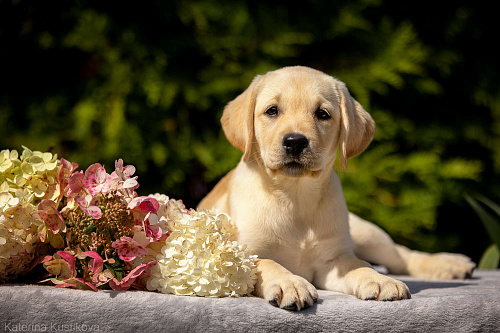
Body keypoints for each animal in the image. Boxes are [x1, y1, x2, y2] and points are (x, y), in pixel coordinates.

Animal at [197, 66, 474, 310]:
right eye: (272, 111)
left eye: (322, 114)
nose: (295, 141)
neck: (295, 196)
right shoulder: (242, 256)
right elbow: (267, 263)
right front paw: (290, 283)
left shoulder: (332, 261)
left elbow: (359, 265)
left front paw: (378, 280)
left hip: (365, 233)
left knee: (401, 256)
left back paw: (450, 264)